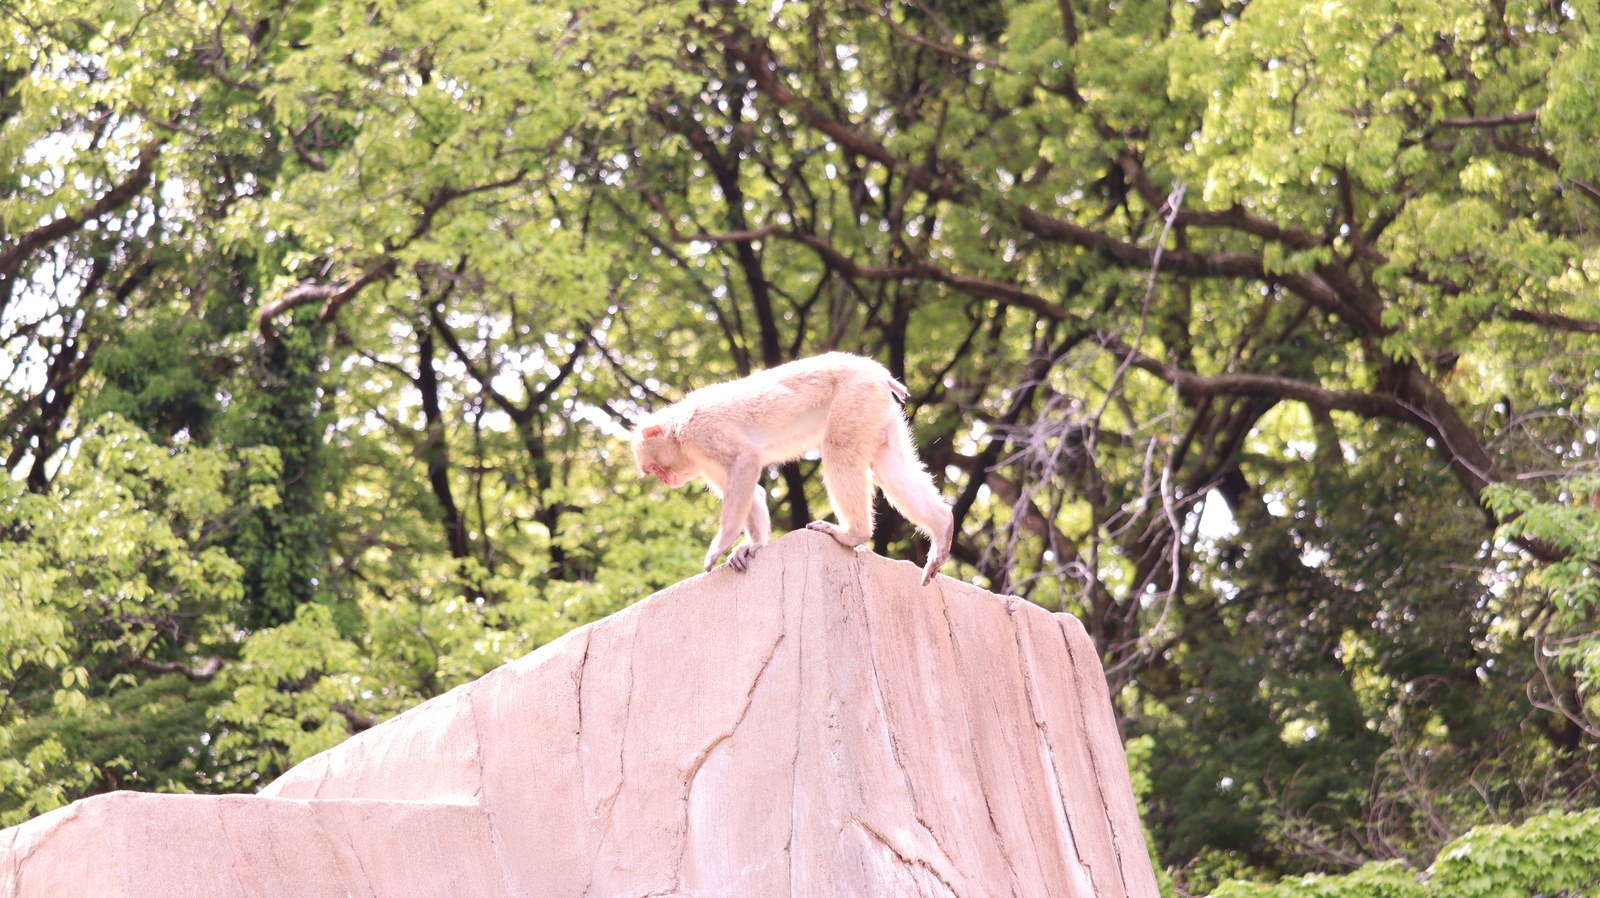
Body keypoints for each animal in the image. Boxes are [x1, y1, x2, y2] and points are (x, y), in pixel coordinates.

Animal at [631, 352, 955, 585]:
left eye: (655, 468)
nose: (667, 481)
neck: (678, 430)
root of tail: (876, 370)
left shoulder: (701, 433)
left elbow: (747, 459)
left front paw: (722, 542)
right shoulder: (704, 461)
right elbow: (752, 491)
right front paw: (752, 545)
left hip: (855, 395)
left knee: (839, 449)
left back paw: (854, 533)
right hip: (876, 409)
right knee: (889, 464)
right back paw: (942, 525)